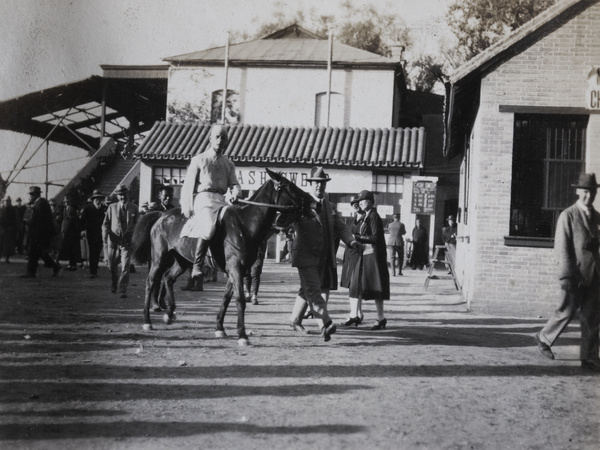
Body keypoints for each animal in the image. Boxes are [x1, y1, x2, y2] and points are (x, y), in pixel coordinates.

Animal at [131, 167, 314, 346]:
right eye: (289, 186)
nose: (313, 202)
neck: (244, 224)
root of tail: (161, 215)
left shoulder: (238, 270)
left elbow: (227, 297)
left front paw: (220, 328)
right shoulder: (235, 269)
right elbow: (240, 300)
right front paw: (242, 335)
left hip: (182, 261)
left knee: (168, 278)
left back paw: (169, 314)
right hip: (159, 259)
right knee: (151, 282)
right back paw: (147, 320)